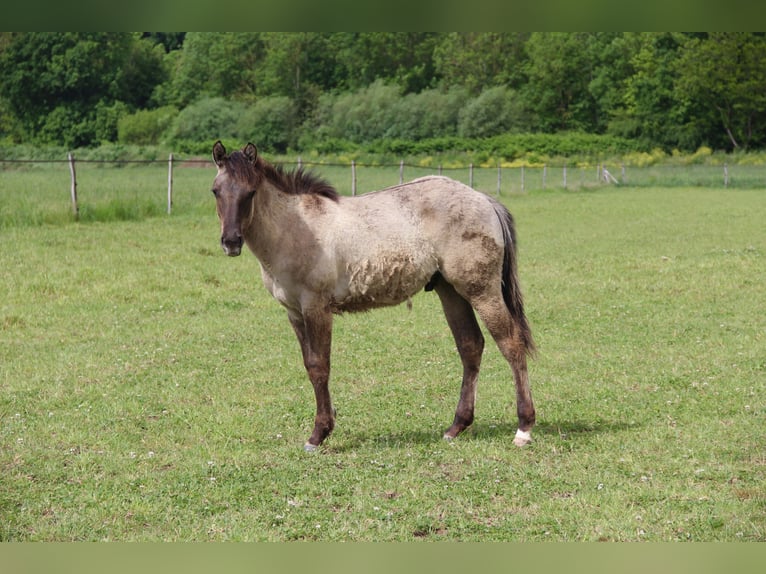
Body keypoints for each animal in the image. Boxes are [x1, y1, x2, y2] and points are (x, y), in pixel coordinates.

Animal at [210, 141, 536, 451]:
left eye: (251, 192)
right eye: (215, 191)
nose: (231, 242)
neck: (295, 228)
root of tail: (485, 200)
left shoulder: (316, 307)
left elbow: (320, 367)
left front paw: (319, 434)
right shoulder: (294, 312)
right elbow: (309, 366)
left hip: (482, 290)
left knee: (511, 344)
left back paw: (523, 428)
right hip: (451, 291)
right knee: (470, 346)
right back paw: (456, 427)